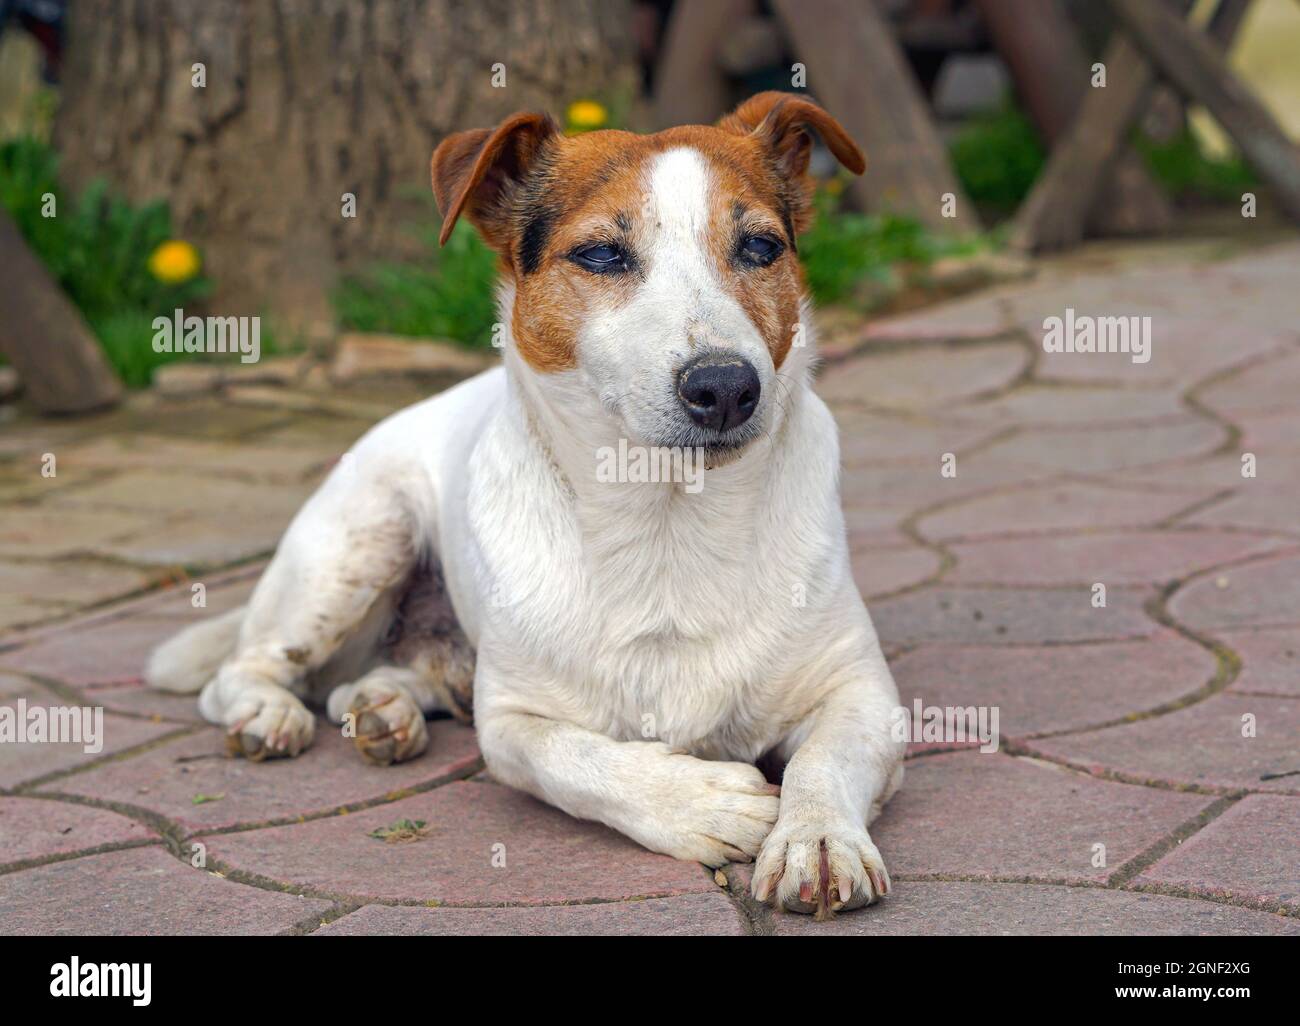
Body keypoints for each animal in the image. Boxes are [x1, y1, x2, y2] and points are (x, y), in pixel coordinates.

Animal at [147, 92, 904, 915]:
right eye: (601, 256)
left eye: (761, 247)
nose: (727, 386)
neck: (668, 522)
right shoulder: (512, 725)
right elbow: (580, 760)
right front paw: (700, 802)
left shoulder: (863, 693)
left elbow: (823, 762)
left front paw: (816, 838)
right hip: (360, 542)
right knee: (242, 670)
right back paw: (270, 712)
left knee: (381, 677)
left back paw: (382, 709)